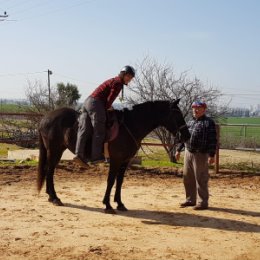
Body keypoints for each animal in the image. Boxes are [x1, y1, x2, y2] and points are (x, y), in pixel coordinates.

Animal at [37, 98, 191, 212]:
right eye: (177, 115)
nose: (187, 135)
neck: (130, 125)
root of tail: (45, 118)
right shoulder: (116, 160)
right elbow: (111, 181)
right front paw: (108, 204)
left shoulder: (125, 161)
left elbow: (119, 181)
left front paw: (120, 203)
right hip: (55, 150)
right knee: (49, 171)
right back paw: (55, 198)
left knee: (49, 171)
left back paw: (51, 196)